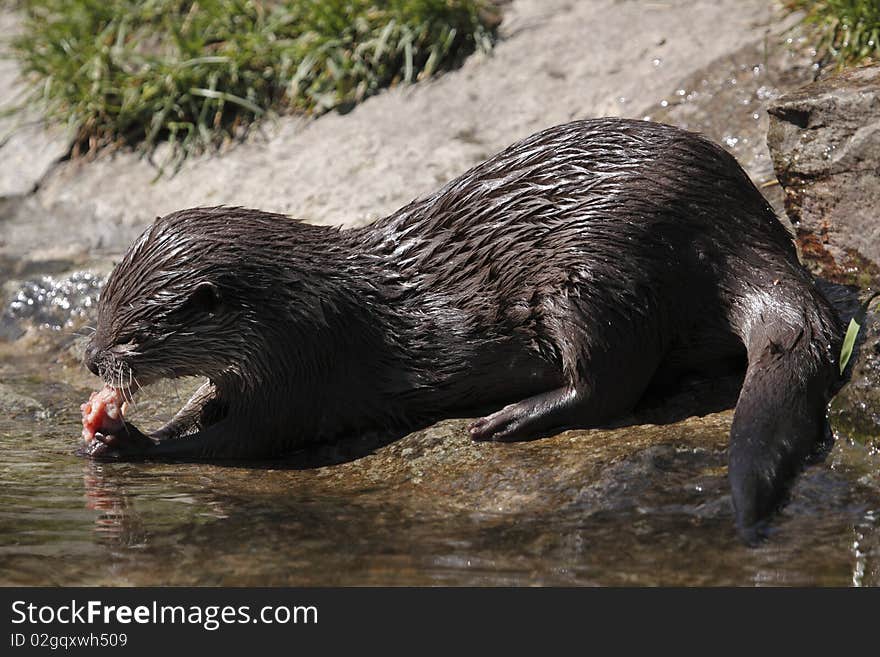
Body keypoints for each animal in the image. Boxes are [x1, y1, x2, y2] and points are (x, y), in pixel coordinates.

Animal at [84, 119, 844, 544]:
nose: (91, 359)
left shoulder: (301, 369)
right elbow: (204, 405)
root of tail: (746, 227)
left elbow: (240, 440)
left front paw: (128, 441)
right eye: (100, 308)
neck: (306, 306)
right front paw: (117, 427)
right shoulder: (258, 367)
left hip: (597, 274)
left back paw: (511, 417)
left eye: (131, 333)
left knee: (611, 382)